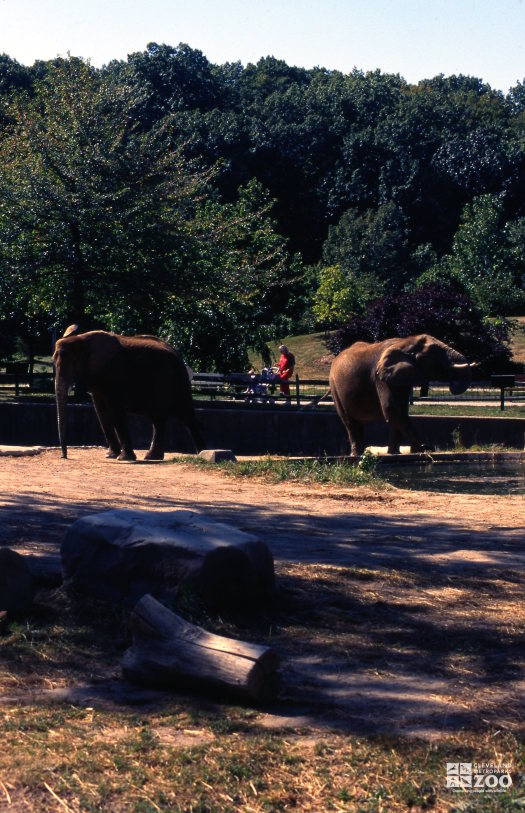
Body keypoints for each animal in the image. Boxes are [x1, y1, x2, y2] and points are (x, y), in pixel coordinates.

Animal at [51, 326, 203, 460]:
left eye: (73, 363)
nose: (64, 456)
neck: (80, 339)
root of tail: (178, 354)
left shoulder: (111, 377)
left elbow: (115, 411)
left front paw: (123, 458)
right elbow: (101, 411)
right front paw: (111, 455)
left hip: (179, 382)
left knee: (187, 415)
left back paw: (201, 453)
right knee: (158, 420)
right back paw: (152, 457)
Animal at [330, 332, 472, 456]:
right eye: (434, 351)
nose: (452, 380)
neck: (406, 341)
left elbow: (400, 412)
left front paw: (395, 453)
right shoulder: (381, 378)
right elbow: (392, 411)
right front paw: (424, 448)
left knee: (359, 424)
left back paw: (361, 453)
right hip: (334, 387)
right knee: (350, 423)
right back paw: (356, 454)